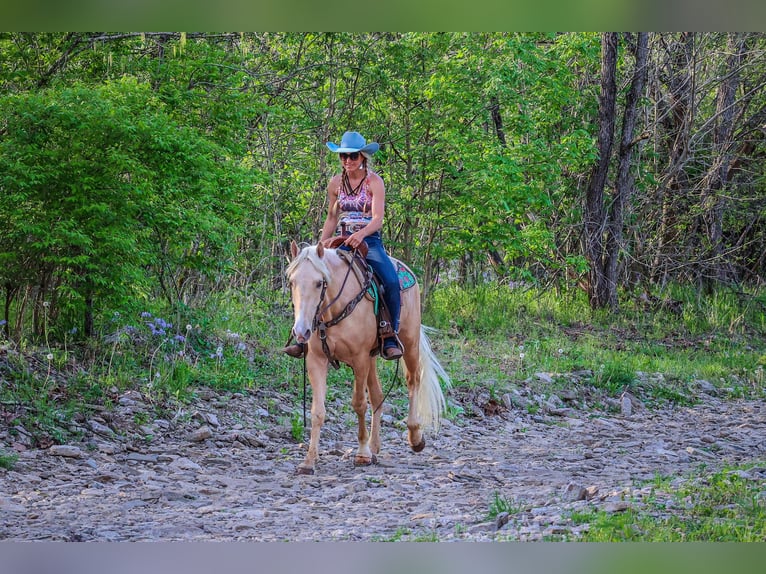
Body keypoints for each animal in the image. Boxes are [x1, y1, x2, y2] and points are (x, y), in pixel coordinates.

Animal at [292, 241, 452, 474]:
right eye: (292, 281)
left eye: (319, 283)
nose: (301, 331)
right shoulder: (317, 360)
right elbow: (318, 411)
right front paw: (308, 461)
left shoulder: (359, 359)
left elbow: (359, 404)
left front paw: (362, 454)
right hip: (372, 357)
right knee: (377, 395)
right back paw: (374, 446)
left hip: (409, 342)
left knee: (413, 381)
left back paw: (414, 437)